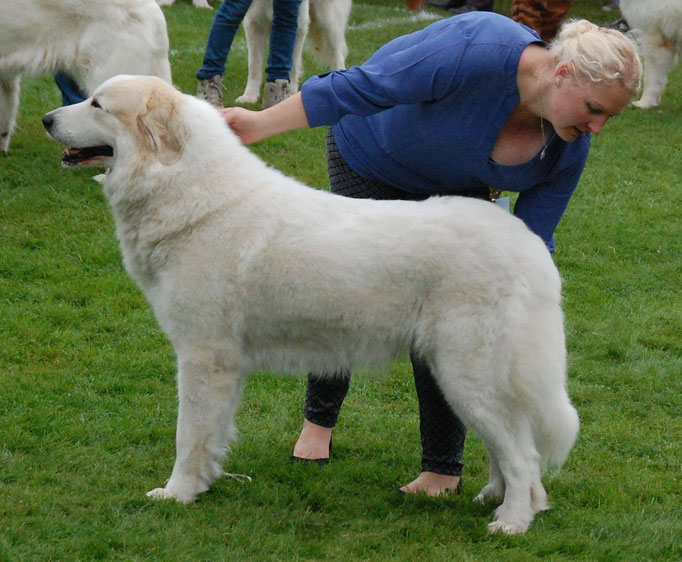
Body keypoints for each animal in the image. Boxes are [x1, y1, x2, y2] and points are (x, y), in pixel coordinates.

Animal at [41, 75, 572, 532]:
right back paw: (495, 498)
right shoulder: (225, 367)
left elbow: (187, 435)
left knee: (523, 455)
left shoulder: (202, 357)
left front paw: (177, 494)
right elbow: (212, 434)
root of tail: (529, 243)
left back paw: (512, 522)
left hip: (467, 374)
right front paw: (206, 484)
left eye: (97, 105)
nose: (46, 118)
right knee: (509, 445)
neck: (188, 192)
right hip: (466, 377)